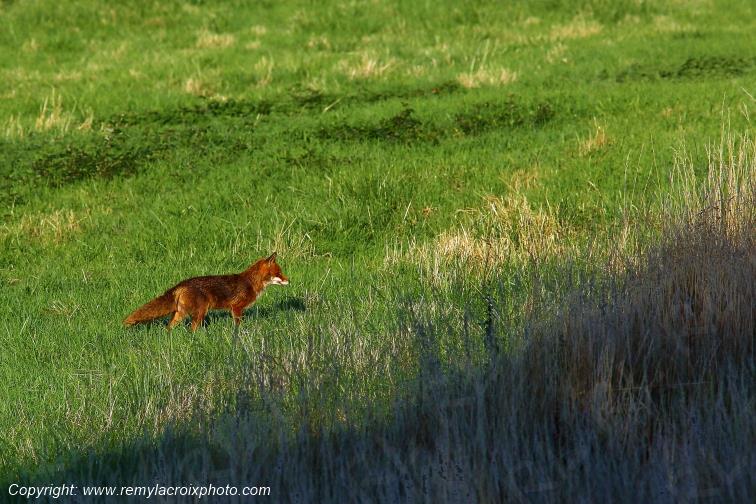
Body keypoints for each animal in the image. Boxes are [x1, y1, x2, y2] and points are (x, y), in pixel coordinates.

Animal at [123, 253, 289, 332]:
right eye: (279, 273)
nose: (289, 280)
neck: (250, 282)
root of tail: (182, 283)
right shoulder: (236, 308)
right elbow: (238, 326)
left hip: (180, 314)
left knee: (169, 328)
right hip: (200, 313)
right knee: (191, 330)